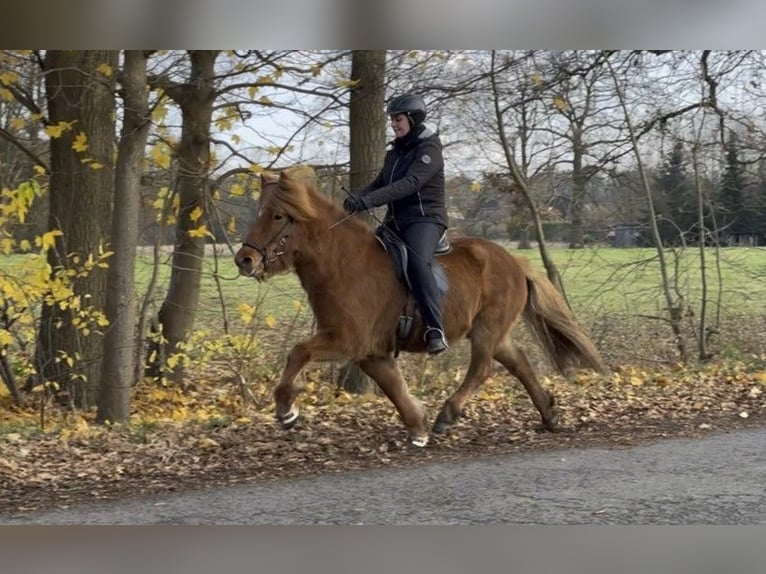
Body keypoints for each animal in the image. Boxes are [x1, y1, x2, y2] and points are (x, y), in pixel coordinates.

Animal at [234, 169, 608, 448]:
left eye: (277, 215)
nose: (244, 260)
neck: (343, 263)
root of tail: (515, 261)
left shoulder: (347, 341)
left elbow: (298, 352)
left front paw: (286, 408)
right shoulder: (371, 351)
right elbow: (393, 386)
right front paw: (417, 426)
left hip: (487, 330)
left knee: (482, 369)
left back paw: (449, 415)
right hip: (494, 332)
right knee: (519, 364)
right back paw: (548, 414)